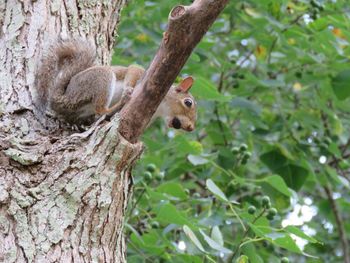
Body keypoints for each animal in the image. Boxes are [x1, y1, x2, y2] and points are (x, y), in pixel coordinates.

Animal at [35, 39, 197, 132]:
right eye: (188, 103)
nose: (190, 128)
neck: (160, 108)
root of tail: (62, 97)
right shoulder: (139, 73)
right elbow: (132, 72)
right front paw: (129, 89)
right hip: (101, 78)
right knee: (100, 109)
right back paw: (122, 101)